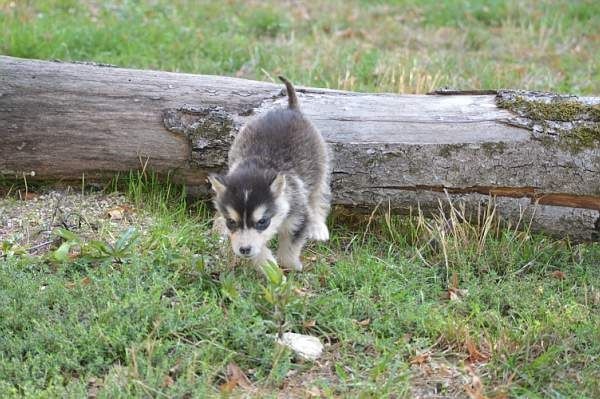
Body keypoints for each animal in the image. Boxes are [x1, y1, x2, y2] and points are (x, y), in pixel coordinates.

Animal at [206, 77, 328, 272]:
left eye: (262, 221)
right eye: (231, 222)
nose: (244, 250)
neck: (257, 166)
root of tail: (290, 109)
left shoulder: (298, 216)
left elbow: (288, 251)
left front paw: (292, 267)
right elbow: (260, 252)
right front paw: (270, 268)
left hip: (318, 167)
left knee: (318, 197)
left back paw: (318, 228)